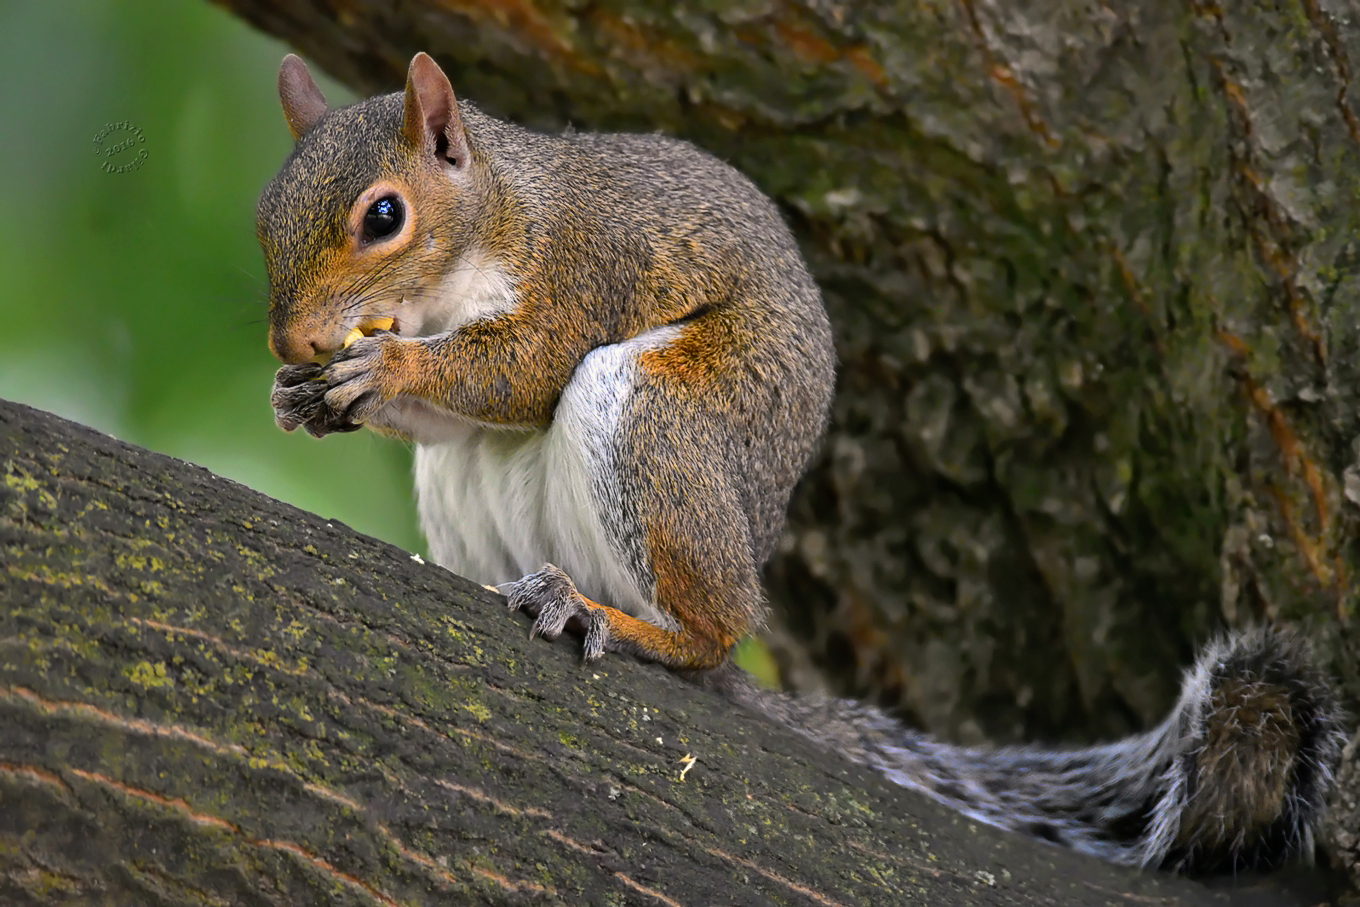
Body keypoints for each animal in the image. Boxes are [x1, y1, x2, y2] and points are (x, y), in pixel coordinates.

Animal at [259, 52, 1346, 875]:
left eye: (384, 217)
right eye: (266, 219)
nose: (293, 340)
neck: (487, 225)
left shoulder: (582, 269)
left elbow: (520, 374)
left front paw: (387, 367)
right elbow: (448, 417)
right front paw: (307, 397)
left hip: (659, 420)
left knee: (710, 635)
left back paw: (612, 617)